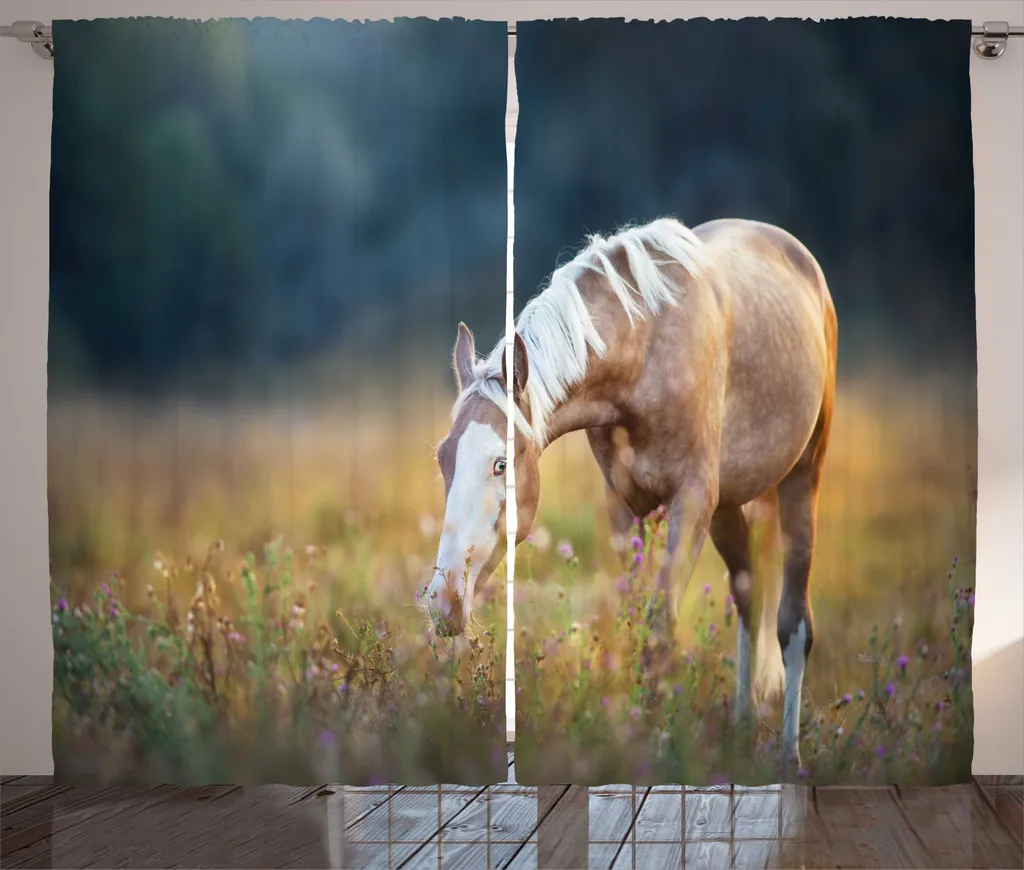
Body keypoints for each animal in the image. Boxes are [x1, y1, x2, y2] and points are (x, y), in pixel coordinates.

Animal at [424, 216, 837, 771]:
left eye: (501, 463)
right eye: (442, 459)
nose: (443, 602)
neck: (644, 353)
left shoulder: (691, 501)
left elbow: (658, 630)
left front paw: (658, 746)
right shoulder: (625, 508)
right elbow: (631, 624)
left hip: (801, 479)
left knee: (793, 624)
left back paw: (788, 758)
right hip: (728, 510)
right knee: (749, 598)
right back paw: (742, 730)